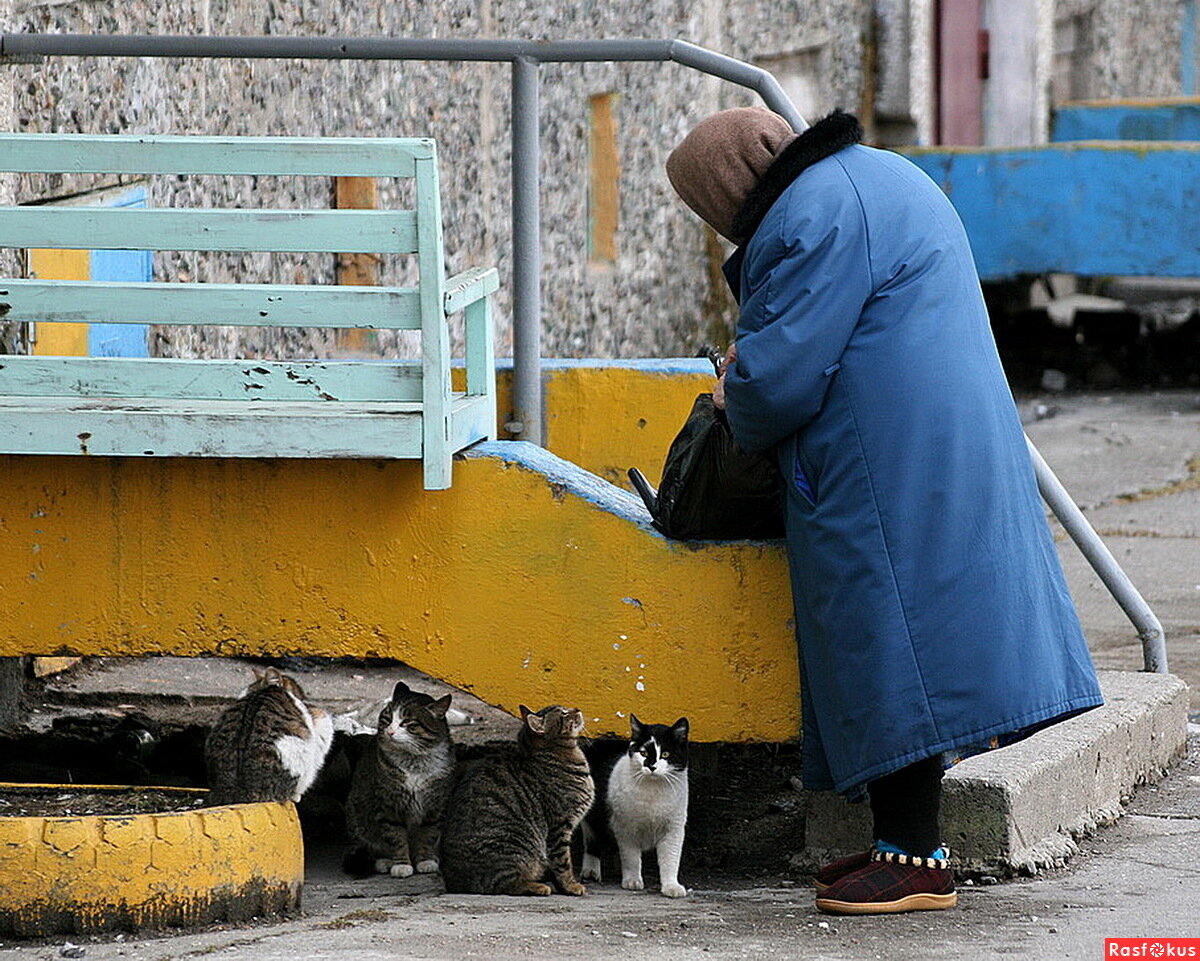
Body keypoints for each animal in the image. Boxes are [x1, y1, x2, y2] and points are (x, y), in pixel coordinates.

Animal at [343, 676, 453, 878]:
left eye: (408, 723)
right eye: (387, 719)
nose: (390, 732)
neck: (414, 762)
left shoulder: (434, 806)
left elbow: (428, 835)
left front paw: (425, 860)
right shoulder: (388, 805)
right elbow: (396, 837)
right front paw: (401, 864)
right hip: (357, 815)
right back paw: (384, 861)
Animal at [439, 700, 592, 897]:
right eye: (564, 713)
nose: (577, 708)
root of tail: (454, 884)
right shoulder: (559, 827)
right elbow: (563, 863)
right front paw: (571, 886)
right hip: (514, 847)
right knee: (504, 885)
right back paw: (538, 886)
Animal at [583, 710, 696, 897]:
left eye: (665, 754)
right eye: (643, 753)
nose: (651, 766)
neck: (653, 792)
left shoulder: (674, 828)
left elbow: (671, 859)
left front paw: (671, 886)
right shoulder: (625, 828)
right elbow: (631, 857)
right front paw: (632, 881)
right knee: (592, 839)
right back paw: (591, 871)